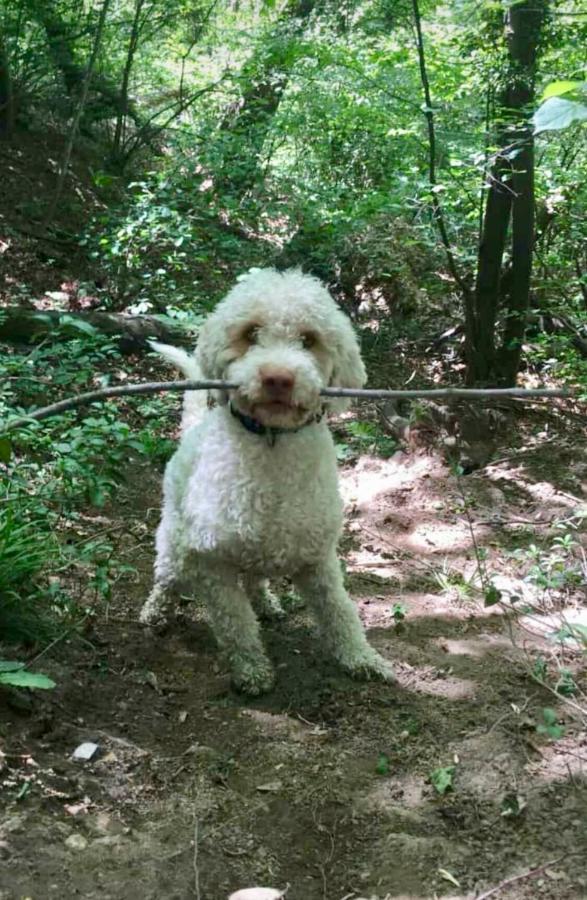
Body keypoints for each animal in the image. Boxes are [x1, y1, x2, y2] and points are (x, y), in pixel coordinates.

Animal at [140, 268, 392, 696]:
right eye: (250, 333)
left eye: (309, 339)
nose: (278, 378)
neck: (272, 445)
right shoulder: (212, 563)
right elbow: (236, 624)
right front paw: (252, 670)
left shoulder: (318, 557)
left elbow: (339, 611)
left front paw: (362, 657)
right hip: (176, 545)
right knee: (167, 579)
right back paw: (154, 612)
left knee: (255, 578)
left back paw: (267, 603)